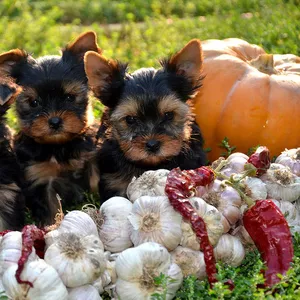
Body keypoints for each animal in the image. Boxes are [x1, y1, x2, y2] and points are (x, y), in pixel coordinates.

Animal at [0, 32, 101, 225]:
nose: (54, 121)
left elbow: (95, 179)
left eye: (70, 97)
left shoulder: (91, 157)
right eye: (34, 103)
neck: (59, 146)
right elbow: (51, 206)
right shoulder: (41, 177)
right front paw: (52, 226)